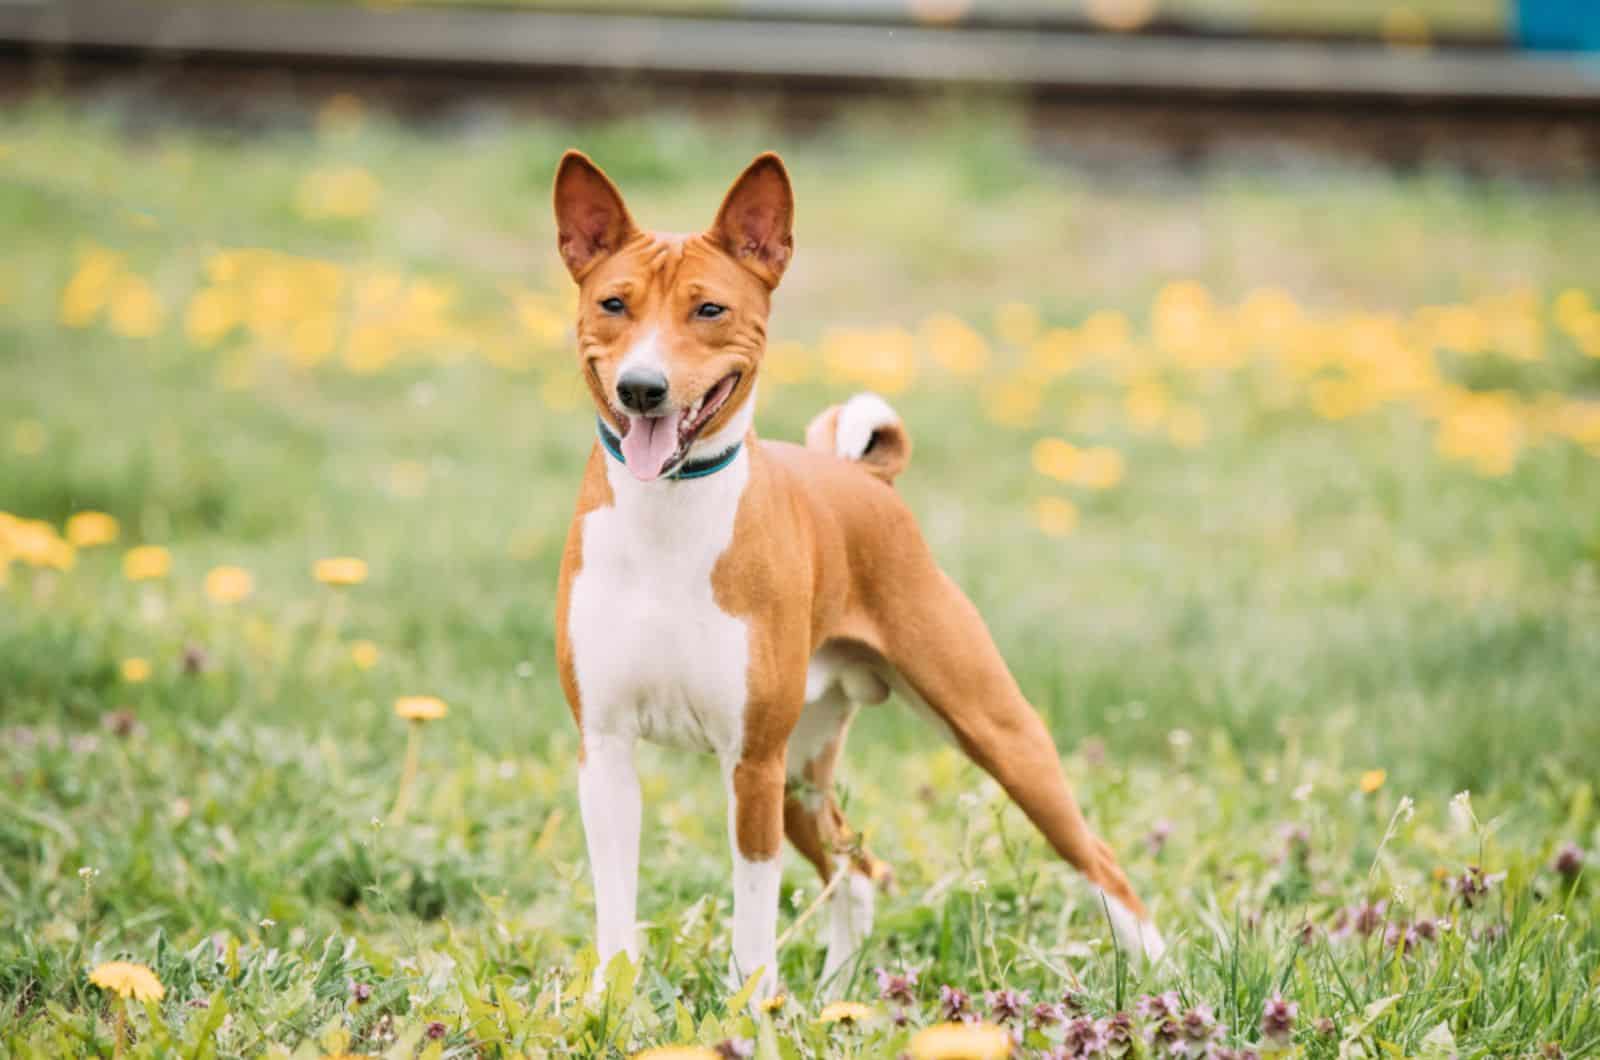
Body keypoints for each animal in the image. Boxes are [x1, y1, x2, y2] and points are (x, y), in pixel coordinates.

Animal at [550, 153, 1164, 999]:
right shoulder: (607, 750)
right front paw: (612, 1007)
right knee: (861, 870)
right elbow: (617, 915)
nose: (643, 388)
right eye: (614, 303)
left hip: (992, 732)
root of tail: (866, 479)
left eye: (708, 309)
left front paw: (749, 1009)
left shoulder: (752, 763)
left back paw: (1167, 981)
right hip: (806, 776)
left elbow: (751, 920)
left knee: (1100, 862)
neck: (667, 519)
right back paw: (835, 999)